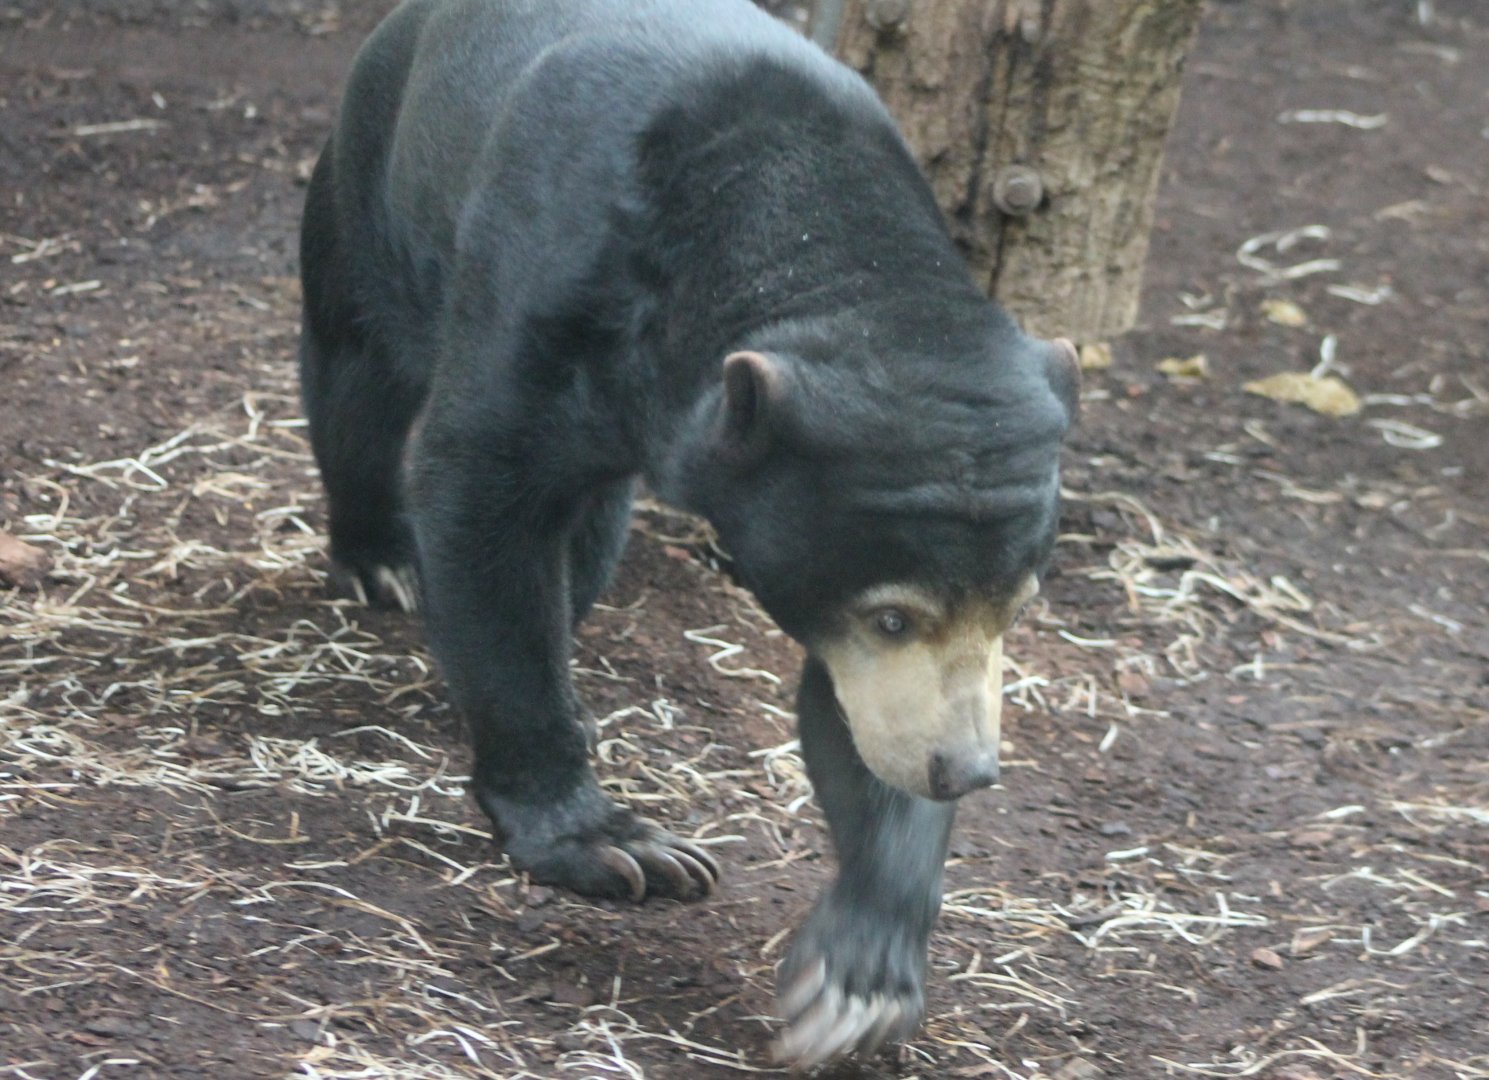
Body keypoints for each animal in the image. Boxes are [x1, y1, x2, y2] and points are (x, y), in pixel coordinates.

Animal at [298, 0, 1079, 1066]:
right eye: (891, 616)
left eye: (1017, 607)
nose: (967, 769)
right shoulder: (550, 283)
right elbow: (477, 496)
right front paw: (618, 846)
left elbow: (851, 720)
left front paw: (855, 981)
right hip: (374, 183)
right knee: (356, 368)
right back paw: (378, 560)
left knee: (588, 531)